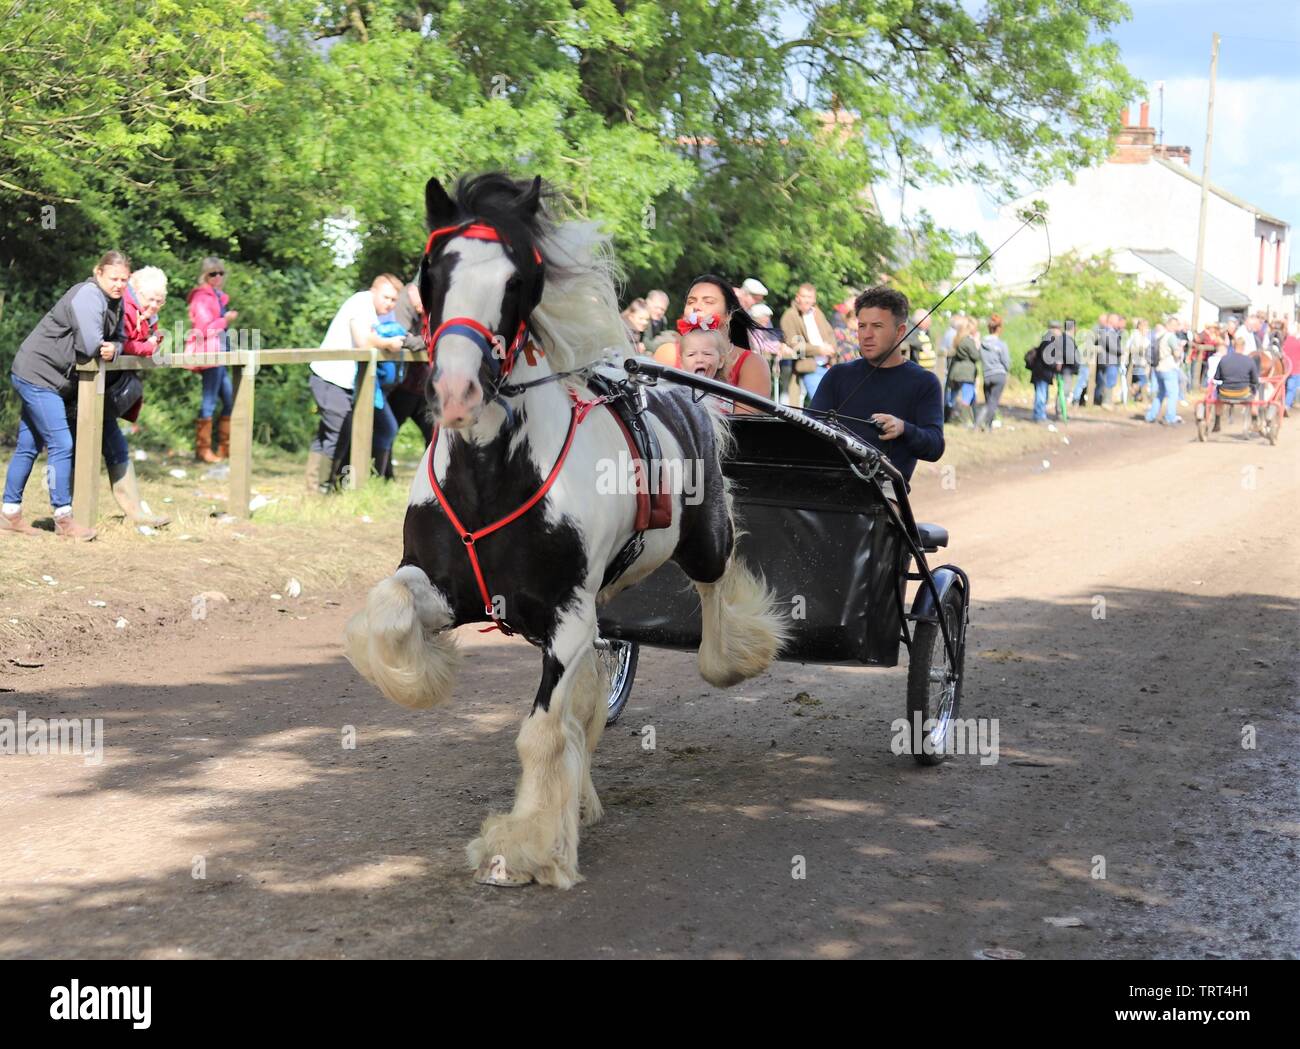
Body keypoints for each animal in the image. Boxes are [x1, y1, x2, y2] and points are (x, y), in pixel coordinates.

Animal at [343, 172, 780, 883]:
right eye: (430, 272)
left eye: (518, 279)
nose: (457, 391)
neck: (491, 476)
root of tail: (687, 395)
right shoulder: (447, 588)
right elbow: (387, 613)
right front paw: (425, 675)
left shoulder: (568, 618)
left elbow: (544, 731)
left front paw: (523, 846)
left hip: (702, 543)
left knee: (719, 591)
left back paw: (739, 651)